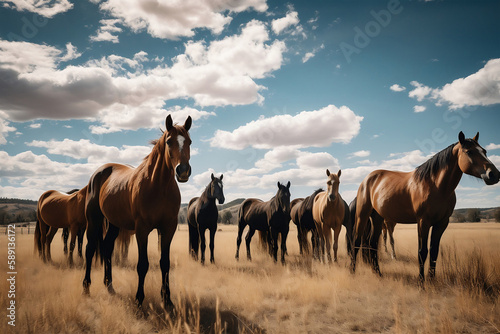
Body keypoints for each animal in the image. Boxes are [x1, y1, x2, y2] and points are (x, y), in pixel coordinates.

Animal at [83, 115, 192, 310]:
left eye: (189, 141)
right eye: (169, 141)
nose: (183, 171)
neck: (158, 186)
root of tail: (99, 172)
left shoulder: (168, 228)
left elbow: (165, 263)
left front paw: (167, 300)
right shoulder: (142, 230)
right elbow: (143, 265)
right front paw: (139, 300)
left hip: (114, 224)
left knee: (107, 248)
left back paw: (109, 285)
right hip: (93, 221)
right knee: (89, 250)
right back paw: (86, 288)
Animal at [352, 132, 500, 280]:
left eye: (484, 151)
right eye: (469, 152)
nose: (494, 174)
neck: (435, 185)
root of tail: (368, 178)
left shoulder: (441, 223)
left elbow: (434, 251)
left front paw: (432, 279)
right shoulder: (423, 222)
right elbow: (422, 252)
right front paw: (421, 281)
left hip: (378, 218)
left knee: (372, 243)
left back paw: (377, 273)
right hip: (362, 215)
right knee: (357, 241)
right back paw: (353, 271)